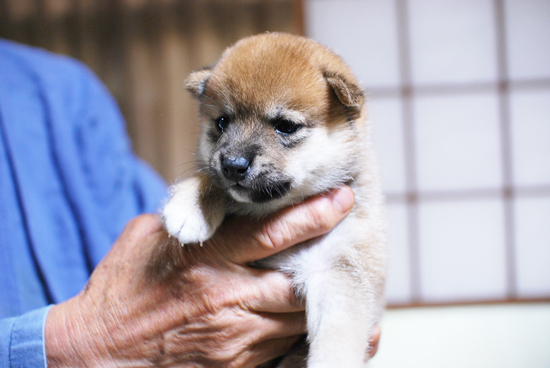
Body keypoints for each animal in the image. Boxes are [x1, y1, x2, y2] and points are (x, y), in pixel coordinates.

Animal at [164, 33, 388, 366]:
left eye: (285, 126)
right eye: (221, 123)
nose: (233, 165)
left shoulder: (339, 270)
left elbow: (337, 336)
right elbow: (210, 178)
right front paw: (191, 206)